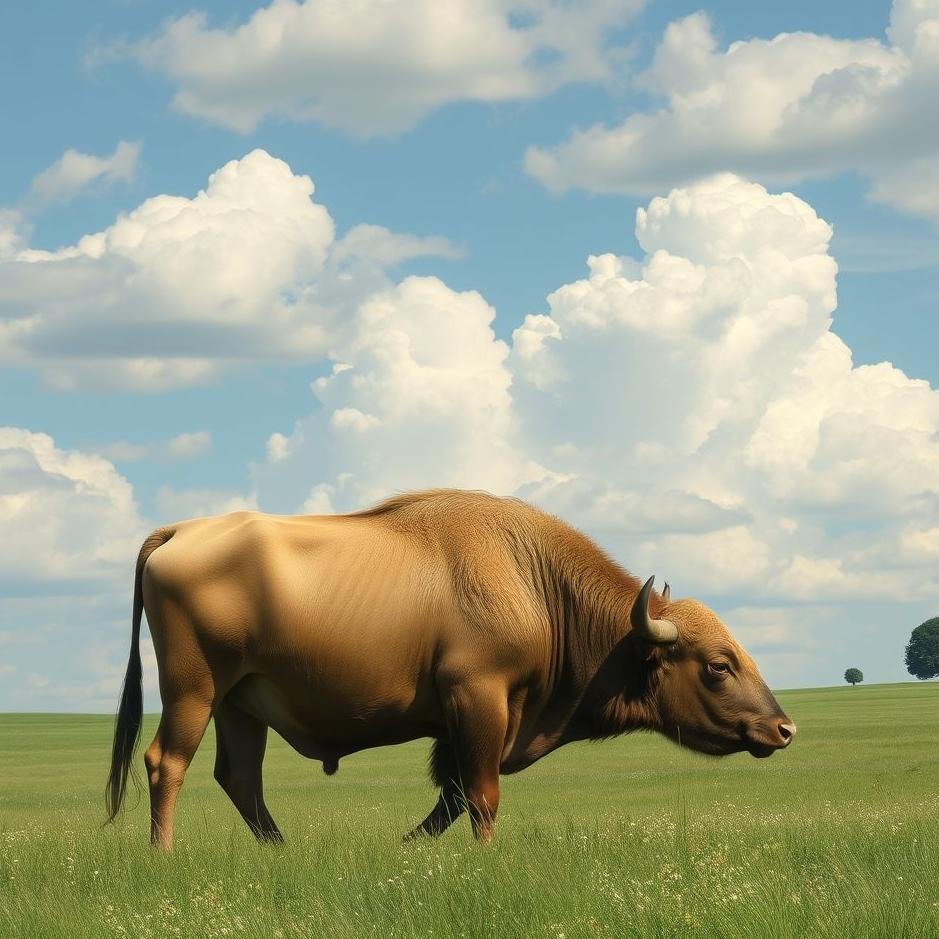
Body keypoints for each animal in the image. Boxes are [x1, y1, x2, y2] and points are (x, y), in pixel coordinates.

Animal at [105, 489, 795, 848]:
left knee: (240, 778)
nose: (783, 729)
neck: (534, 580)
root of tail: (179, 532)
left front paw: (406, 847)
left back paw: (283, 853)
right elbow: (480, 794)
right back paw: (164, 855)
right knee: (166, 762)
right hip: (195, 691)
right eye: (717, 665)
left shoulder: (462, 726)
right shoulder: (478, 700)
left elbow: (454, 795)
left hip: (240, 705)